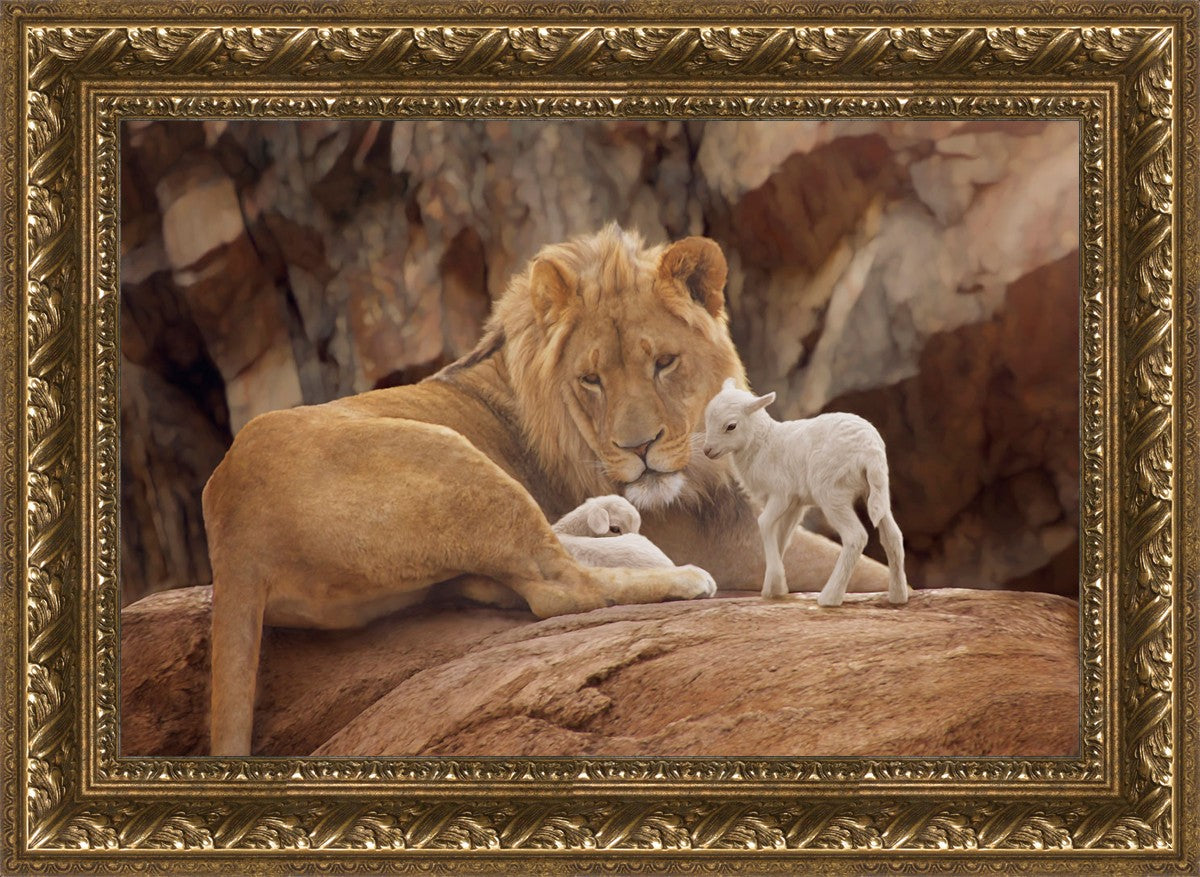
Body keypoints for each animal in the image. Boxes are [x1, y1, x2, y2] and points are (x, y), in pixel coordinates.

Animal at [701, 379, 909, 607]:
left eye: (731, 426)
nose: (707, 450)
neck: (763, 443)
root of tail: (870, 450)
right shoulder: (795, 503)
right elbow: (782, 535)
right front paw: (774, 587)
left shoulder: (781, 493)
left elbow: (764, 523)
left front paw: (775, 583)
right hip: (877, 489)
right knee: (893, 535)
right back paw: (898, 596)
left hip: (831, 491)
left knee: (856, 536)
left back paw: (830, 597)